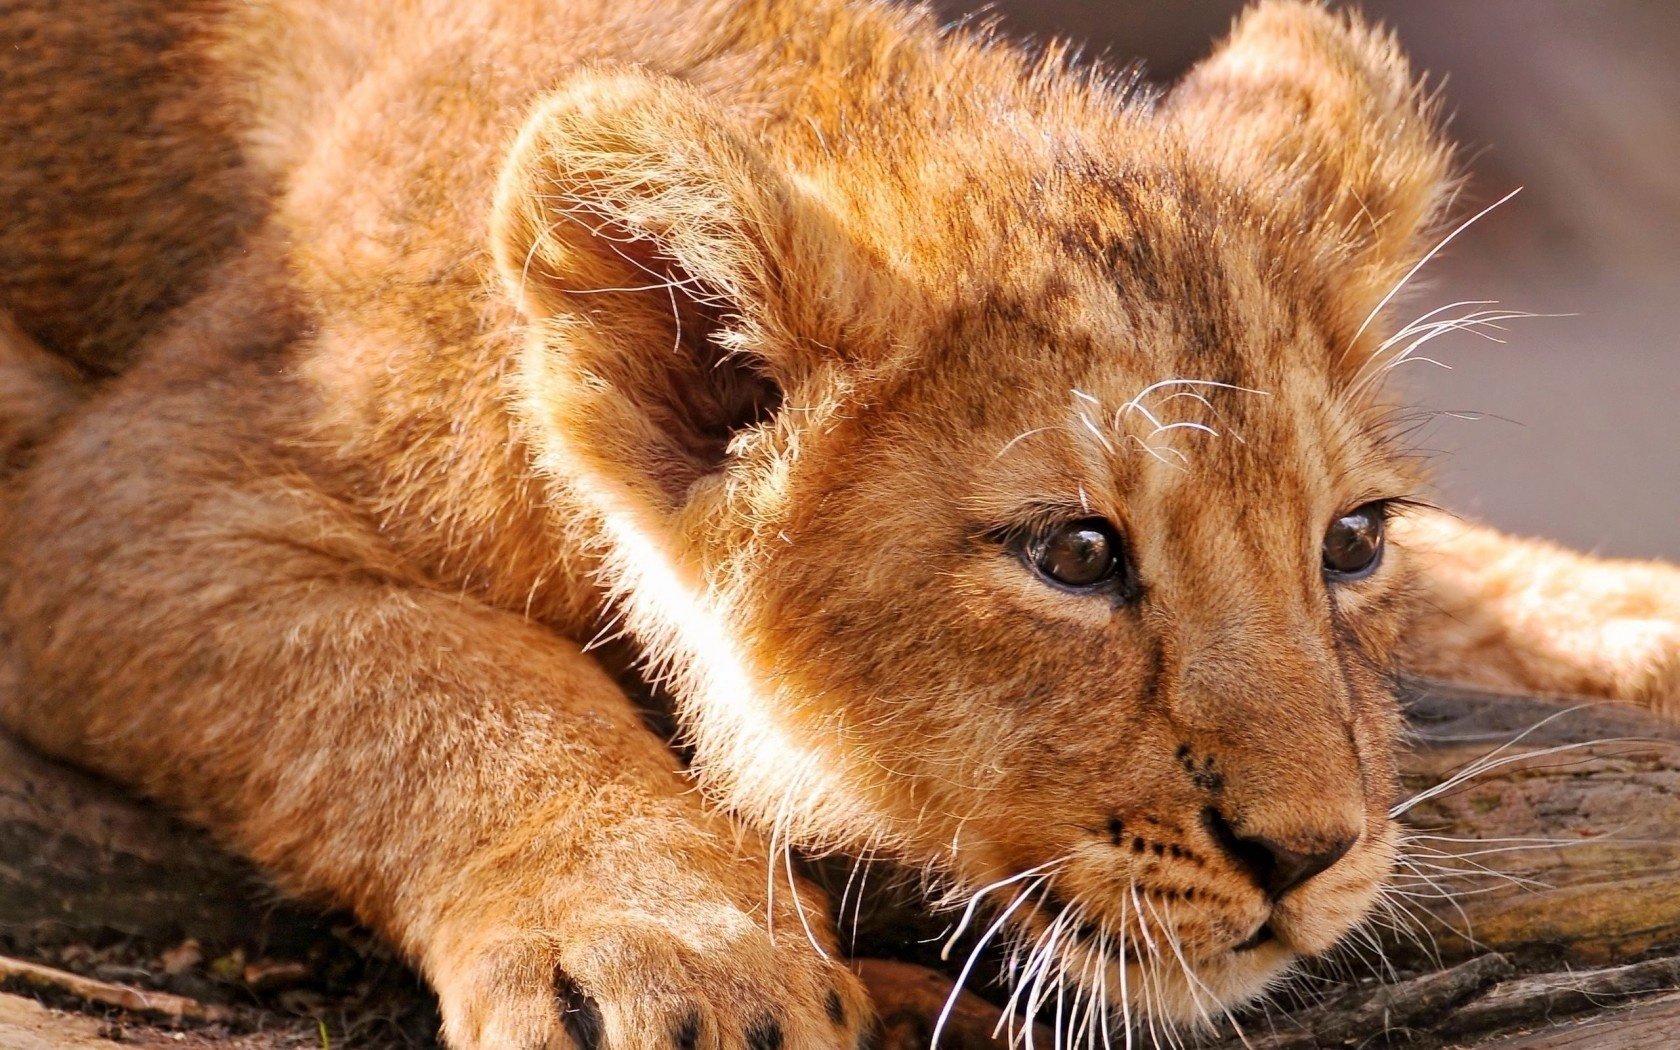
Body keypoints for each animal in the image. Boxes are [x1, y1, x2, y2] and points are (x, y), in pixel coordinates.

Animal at [2, 0, 1677, 1045]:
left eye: (1353, 542)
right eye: (1077, 555)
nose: (1312, 854)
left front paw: (1634, 620)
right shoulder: (127, 489)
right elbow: (431, 671)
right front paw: (673, 942)